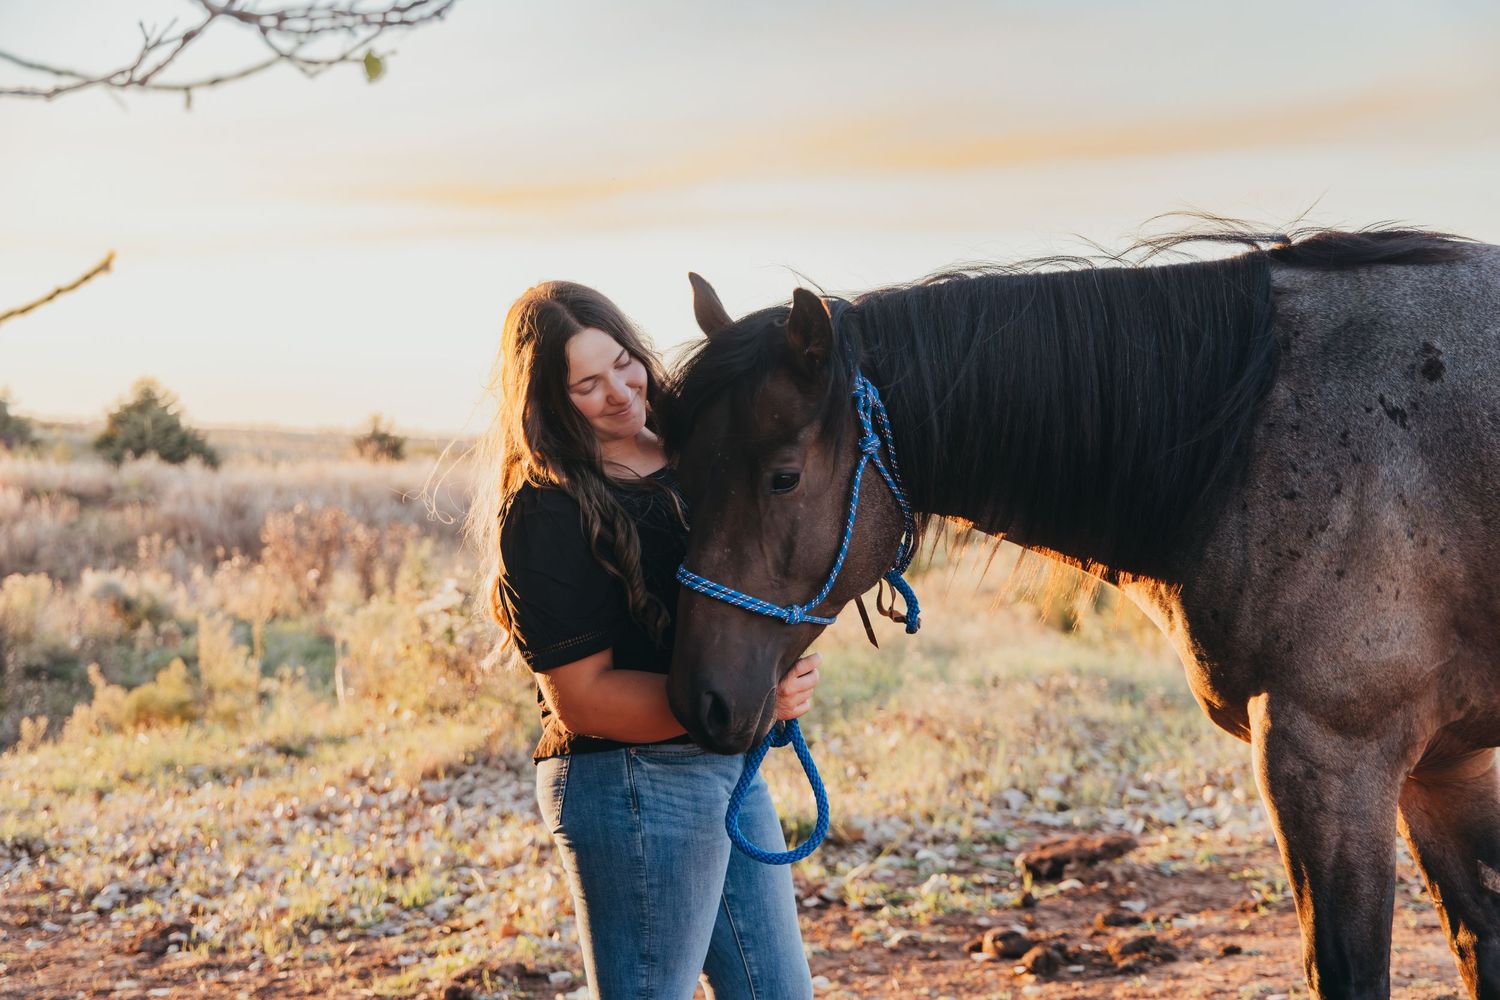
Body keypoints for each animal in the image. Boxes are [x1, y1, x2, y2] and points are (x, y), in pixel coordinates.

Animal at [657, 223, 1500, 1000]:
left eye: (784, 477)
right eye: (682, 479)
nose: (702, 700)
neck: (1244, 439)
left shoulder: (1330, 763)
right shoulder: (1442, 765)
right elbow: (1476, 940)